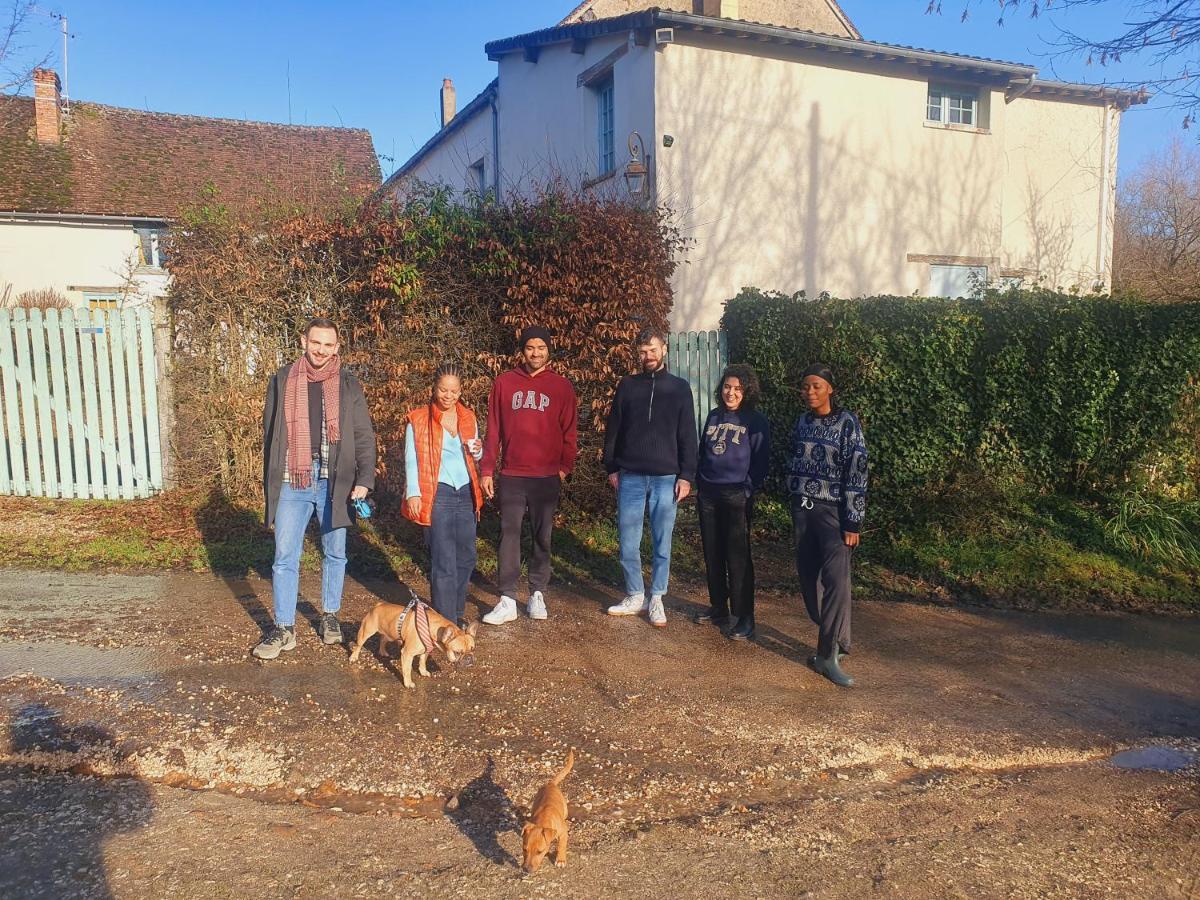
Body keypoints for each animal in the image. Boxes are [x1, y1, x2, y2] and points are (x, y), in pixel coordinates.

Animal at [520, 748, 576, 878]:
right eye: (524, 849)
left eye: (539, 852)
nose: (526, 869)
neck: (543, 818)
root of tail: (551, 783)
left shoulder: (563, 832)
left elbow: (561, 845)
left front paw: (560, 860)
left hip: (565, 809)